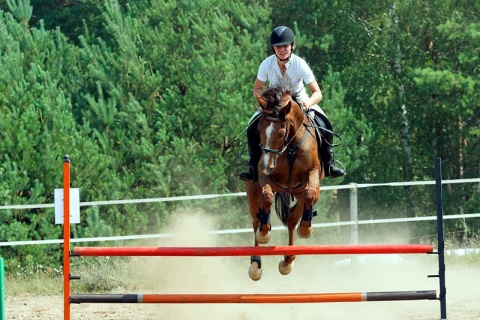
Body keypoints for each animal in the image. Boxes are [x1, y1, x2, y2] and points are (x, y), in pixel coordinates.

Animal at [244, 82, 326, 280]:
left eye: (281, 133)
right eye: (260, 131)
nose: (267, 163)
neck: (289, 148)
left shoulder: (313, 173)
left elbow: (309, 192)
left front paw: (306, 229)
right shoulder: (263, 175)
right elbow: (267, 196)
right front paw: (265, 232)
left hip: (302, 193)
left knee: (292, 218)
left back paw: (288, 259)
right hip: (252, 194)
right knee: (255, 220)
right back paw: (256, 263)